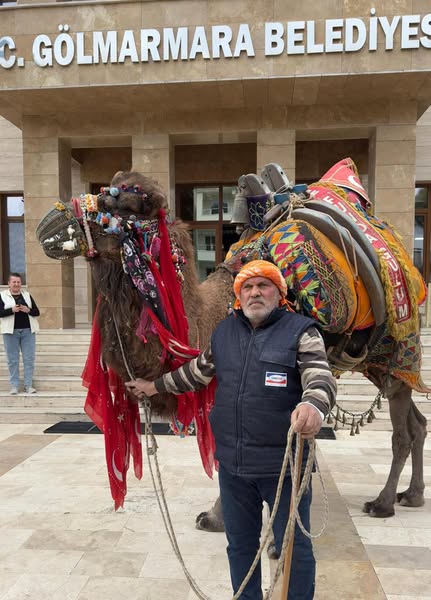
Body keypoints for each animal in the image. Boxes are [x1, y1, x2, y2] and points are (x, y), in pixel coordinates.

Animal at [36, 163, 428, 528]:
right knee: (417, 423)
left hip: (400, 349)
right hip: (377, 363)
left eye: (125, 203)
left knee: (401, 431)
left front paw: (216, 517)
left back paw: (383, 503)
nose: (48, 223)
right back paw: (412, 495)